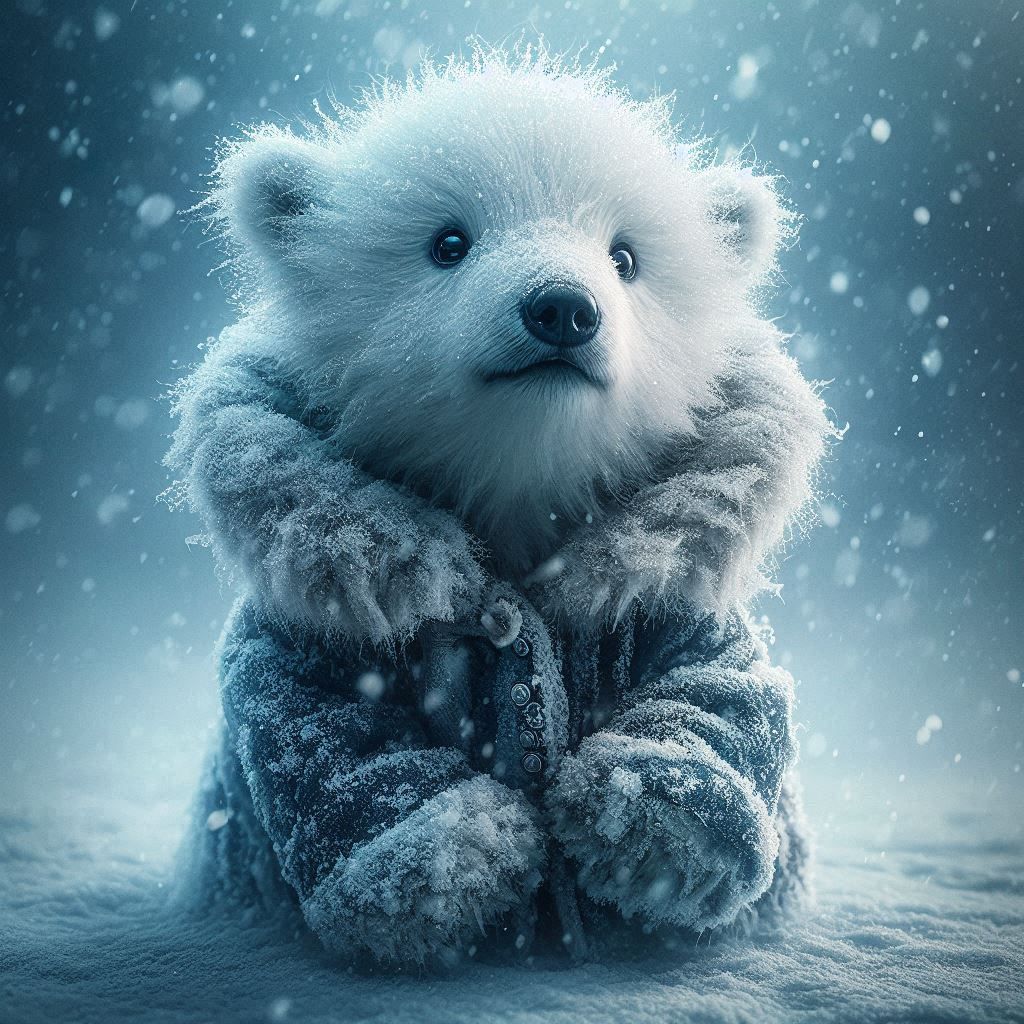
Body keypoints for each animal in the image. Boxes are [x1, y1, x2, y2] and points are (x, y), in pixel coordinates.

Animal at [165, 48, 834, 968]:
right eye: (448, 242)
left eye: (626, 256)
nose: (562, 307)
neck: (517, 496)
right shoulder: (318, 614)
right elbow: (322, 733)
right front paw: (470, 856)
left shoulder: (668, 588)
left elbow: (720, 693)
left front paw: (636, 824)